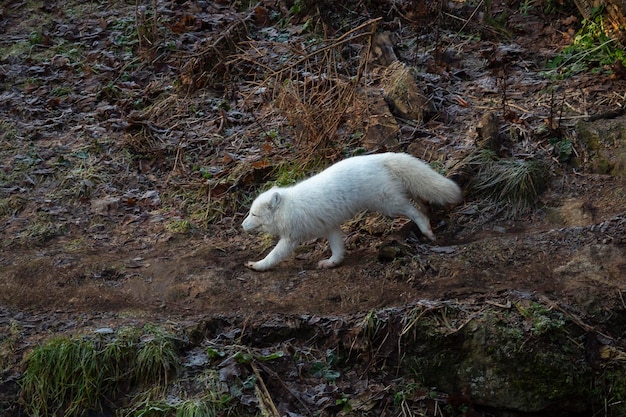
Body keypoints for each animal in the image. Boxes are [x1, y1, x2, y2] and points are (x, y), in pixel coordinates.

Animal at [241, 151, 460, 272]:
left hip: (386, 202)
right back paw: (427, 208)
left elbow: (275, 254)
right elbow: (337, 248)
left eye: (253, 214)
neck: (287, 208)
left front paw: (257, 265)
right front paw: (332, 263)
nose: (242, 225)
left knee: (412, 210)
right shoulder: (330, 226)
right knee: (418, 196)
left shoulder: (291, 237)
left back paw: (426, 227)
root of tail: (377, 158)